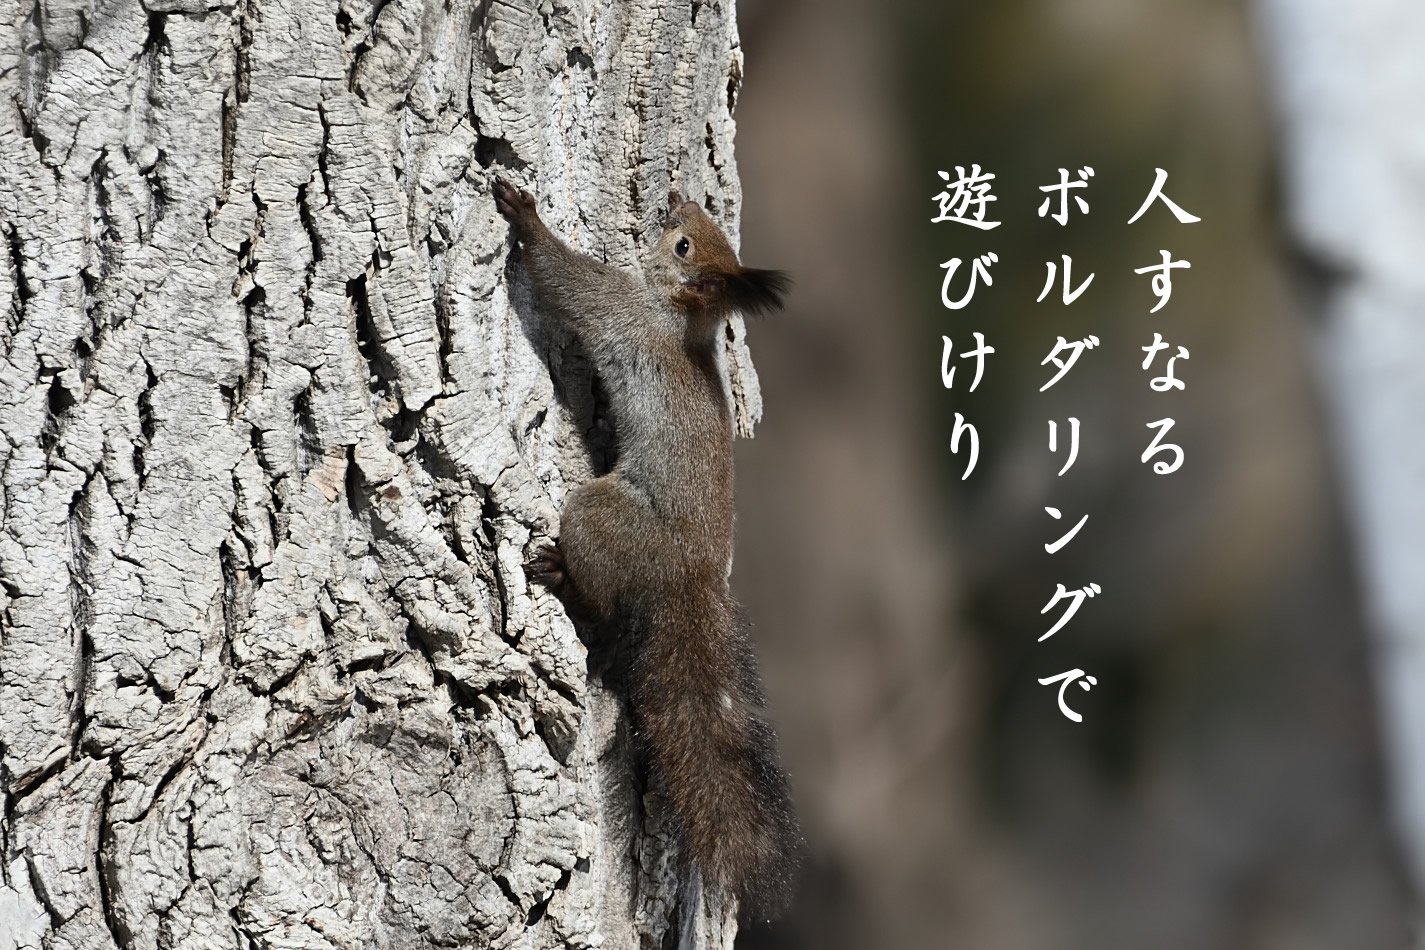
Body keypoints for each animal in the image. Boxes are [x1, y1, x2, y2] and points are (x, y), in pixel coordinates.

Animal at [492, 177, 800, 920]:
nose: (679, 199)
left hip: (602, 514)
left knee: (604, 602)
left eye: (683, 245)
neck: (678, 321)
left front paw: (525, 216)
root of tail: (689, 578)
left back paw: (560, 574)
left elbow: (567, 281)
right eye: (695, 231)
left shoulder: (617, 311)